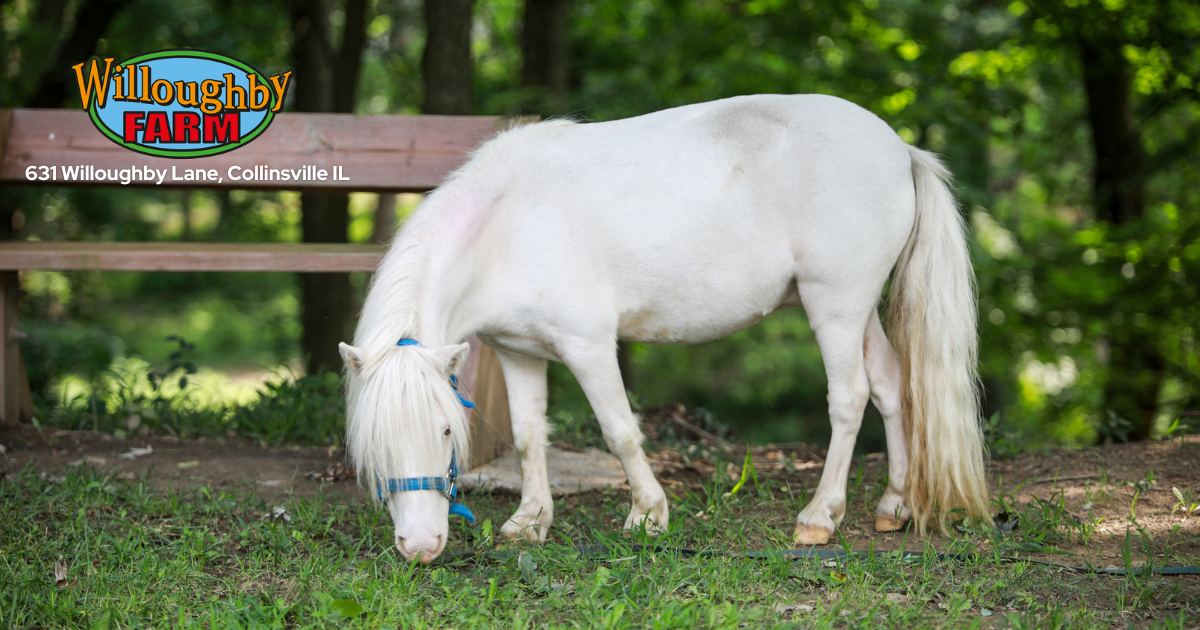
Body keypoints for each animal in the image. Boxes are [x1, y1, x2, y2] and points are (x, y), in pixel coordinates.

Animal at [336, 94, 984, 564]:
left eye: (447, 430)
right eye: (374, 443)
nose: (420, 547)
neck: (505, 226)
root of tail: (900, 149)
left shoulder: (588, 347)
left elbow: (620, 430)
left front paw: (648, 514)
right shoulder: (520, 353)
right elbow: (527, 436)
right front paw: (530, 520)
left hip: (836, 307)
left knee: (849, 399)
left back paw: (819, 517)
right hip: (859, 309)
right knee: (891, 385)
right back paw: (894, 505)